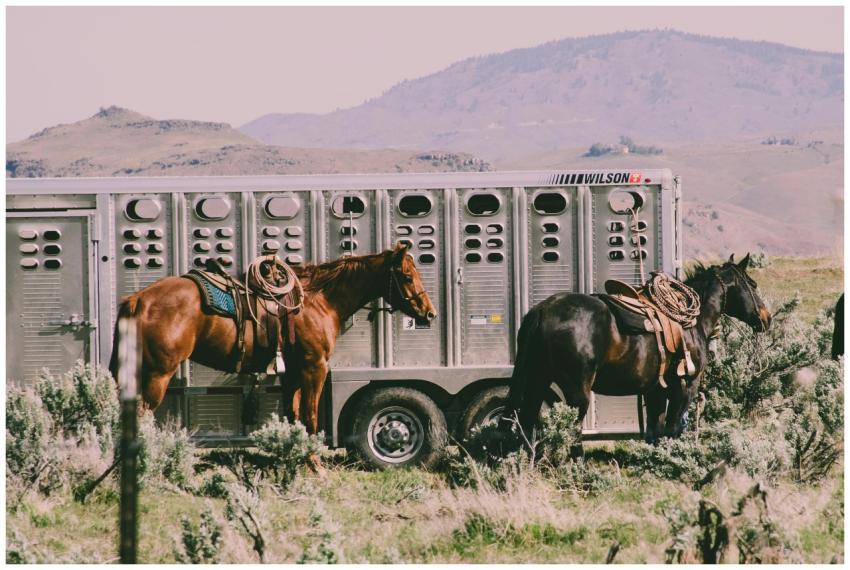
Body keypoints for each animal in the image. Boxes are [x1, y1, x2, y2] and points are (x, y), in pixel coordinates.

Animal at [109, 242, 437, 435]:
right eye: (407, 276)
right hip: (157, 375)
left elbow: (294, 415)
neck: (319, 301)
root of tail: (138, 300)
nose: (429, 312)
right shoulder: (315, 367)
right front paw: (316, 466)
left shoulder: (292, 372)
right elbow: (311, 417)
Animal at [503, 254, 771, 443]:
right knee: (569, 433)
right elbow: (673, 429)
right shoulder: (685, 386)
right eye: (753, 284)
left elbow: (655, 432)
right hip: (577, 393)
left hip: (538, 381)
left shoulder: (656, 391)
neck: (693, 322)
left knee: (527, 424)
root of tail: (542, 310)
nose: (766, 318)